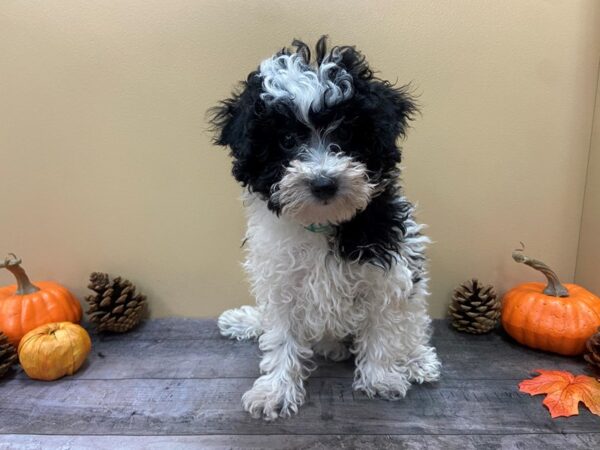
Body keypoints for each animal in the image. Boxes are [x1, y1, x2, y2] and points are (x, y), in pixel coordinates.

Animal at [211, 37, 440, 420]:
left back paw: (417, 359)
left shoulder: (386, 275)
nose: (323, 183)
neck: (322, 221)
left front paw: (381, 378)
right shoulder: (281, 281)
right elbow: (281, 337)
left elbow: (383, 327)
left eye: (345, 132)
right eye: (287, 141)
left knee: (413, 324)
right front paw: (276, 391)